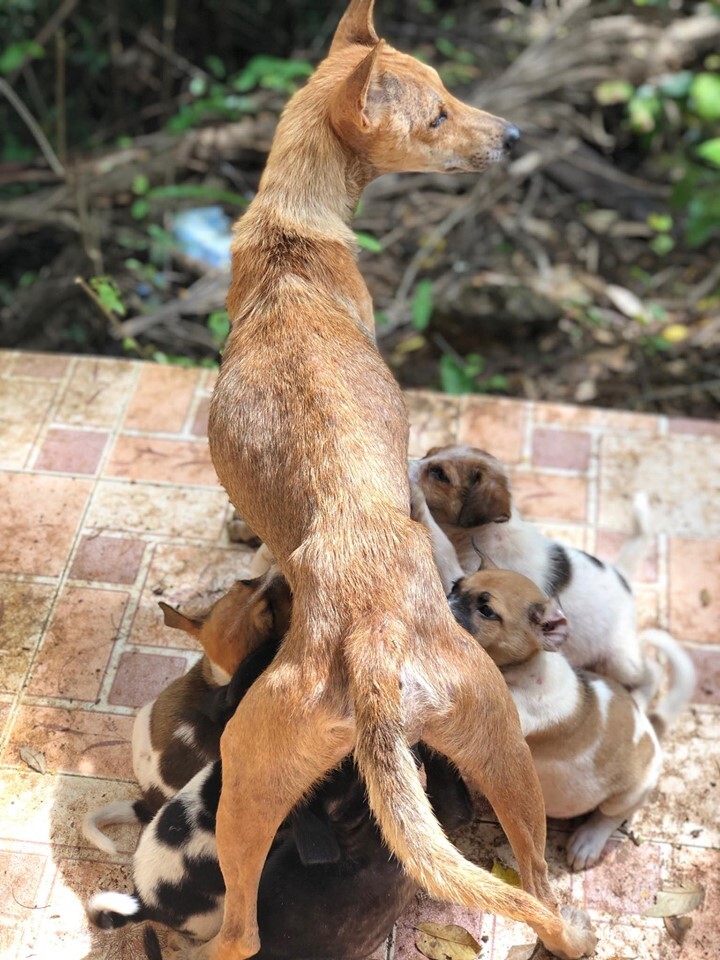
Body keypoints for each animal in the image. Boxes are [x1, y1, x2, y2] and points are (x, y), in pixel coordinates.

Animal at [81, 568, 290, 856]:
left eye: (244, 582)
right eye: (271, 612)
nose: (279, 570)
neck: (225, 678)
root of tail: (150, 801)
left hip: (145, 713)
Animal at [207, 1, 596, 960]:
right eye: (438, 114)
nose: (515, 134)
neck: (295, 237)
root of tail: (379, 660)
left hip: (246, 770)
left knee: (239, 933)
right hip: (502, 752)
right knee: (541, 891)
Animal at [410, 446, 652, 692]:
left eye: (440, 474)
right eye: (429, 453)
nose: (407, 462)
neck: (485, 533)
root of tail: (622, 575)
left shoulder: (466, 573)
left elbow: (443, 545)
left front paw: (416, 493)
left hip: (622, 660)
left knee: (650, 674)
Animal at [452, 572, 696, 872]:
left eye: (486, 610)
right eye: (455, 586)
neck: (526, 668)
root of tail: (649, 725)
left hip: (628, 795)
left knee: (610, 817)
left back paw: (587, 842)